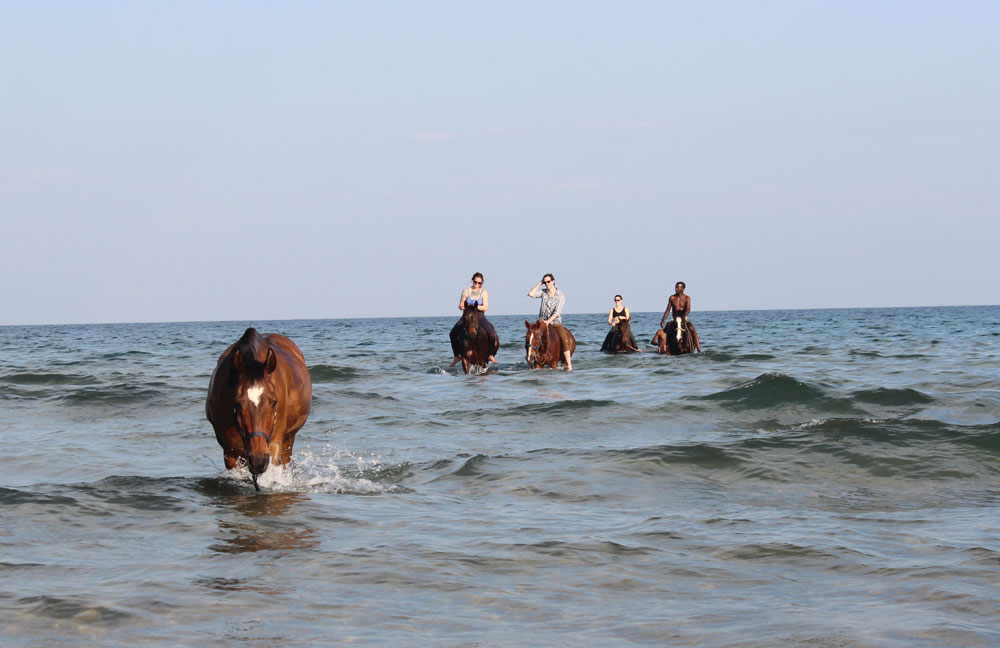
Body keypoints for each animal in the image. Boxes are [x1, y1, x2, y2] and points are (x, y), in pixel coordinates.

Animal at [204, 326, 310, 488]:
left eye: (274, 402)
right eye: (237, 403)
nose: (258, 461)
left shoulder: (274, 446)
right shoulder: (231, 454)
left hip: (288, 441)